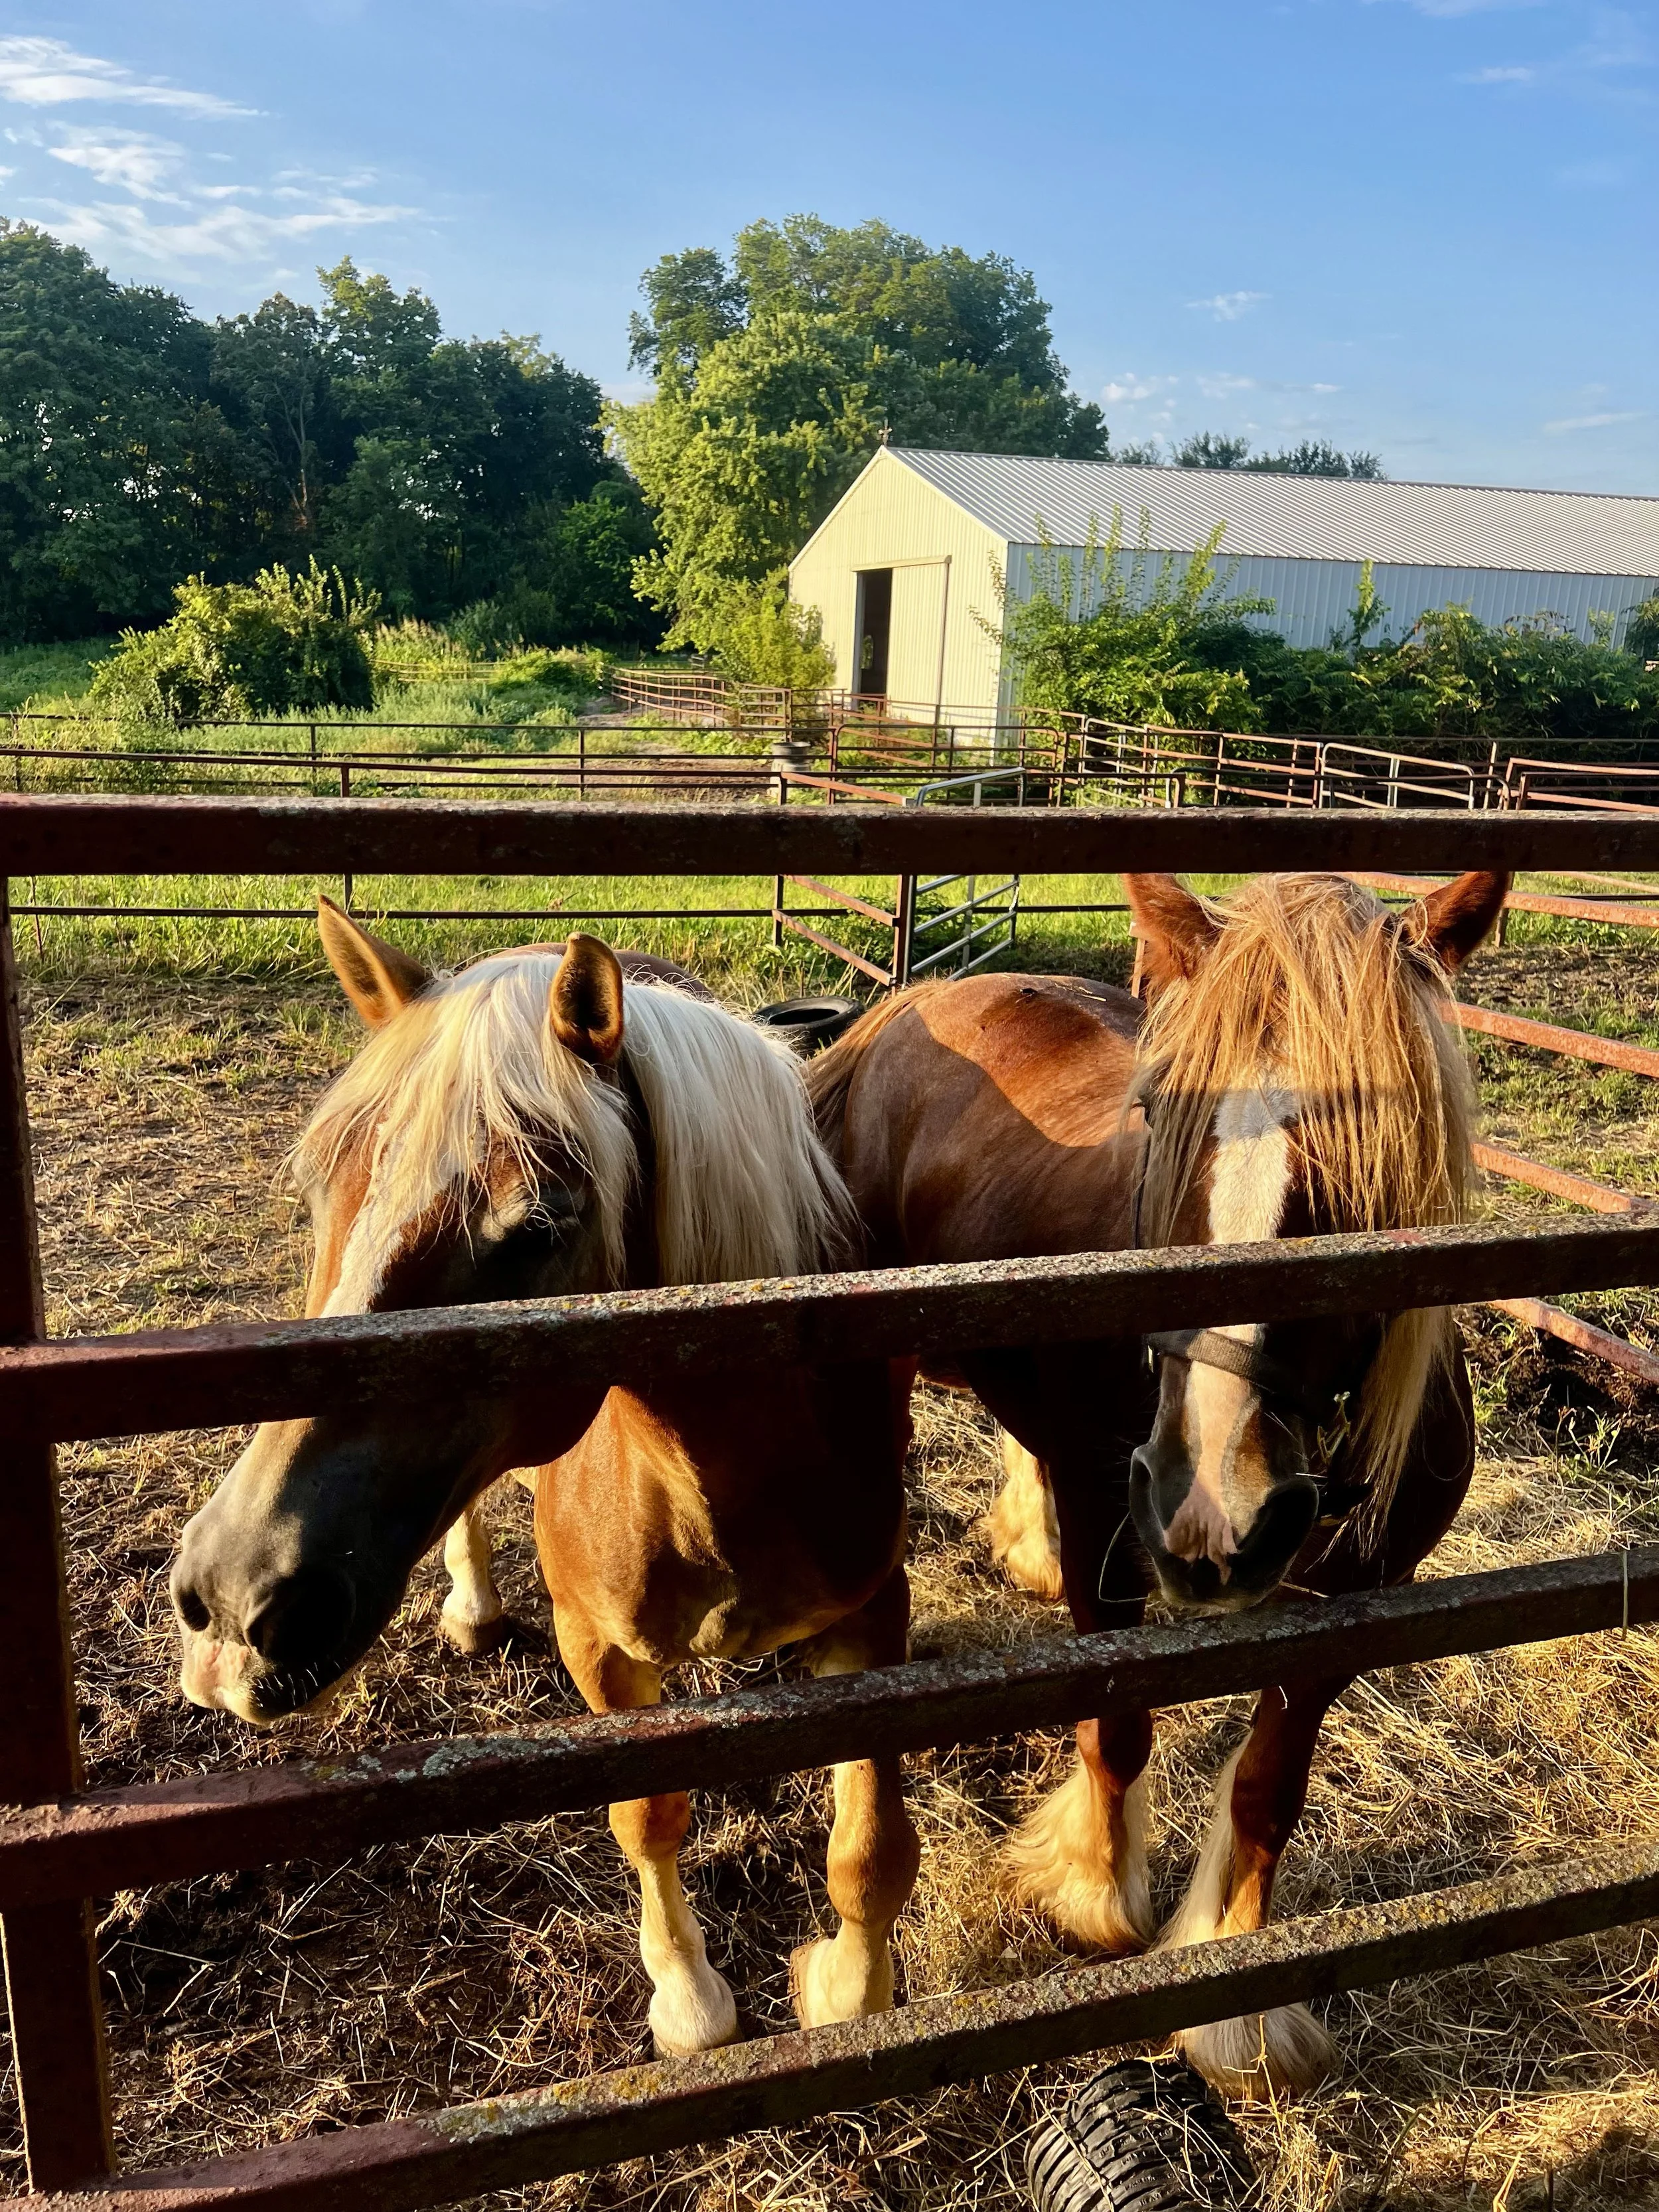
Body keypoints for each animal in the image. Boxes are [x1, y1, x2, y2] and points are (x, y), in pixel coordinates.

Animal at [169, 901, 921, 2055]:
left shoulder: (876, 1617)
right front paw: (690, 2001)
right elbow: (649, 1816)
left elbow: (872, 1851)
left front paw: (848, 1995)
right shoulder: (595, 1647)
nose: (229, 1602)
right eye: (318, 1187)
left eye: (536, 1227)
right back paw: (474, 1607)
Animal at [807, 867, 1509, 2098]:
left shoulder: (1350, 1608)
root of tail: (915, 1001)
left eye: (1372, 1154)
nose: (1212, 1507)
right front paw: (1092, 1895)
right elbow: (1119, 1728)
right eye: (1159, 1116)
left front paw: (1238, 2018)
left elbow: (1268, 1792)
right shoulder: (1114, 1527)